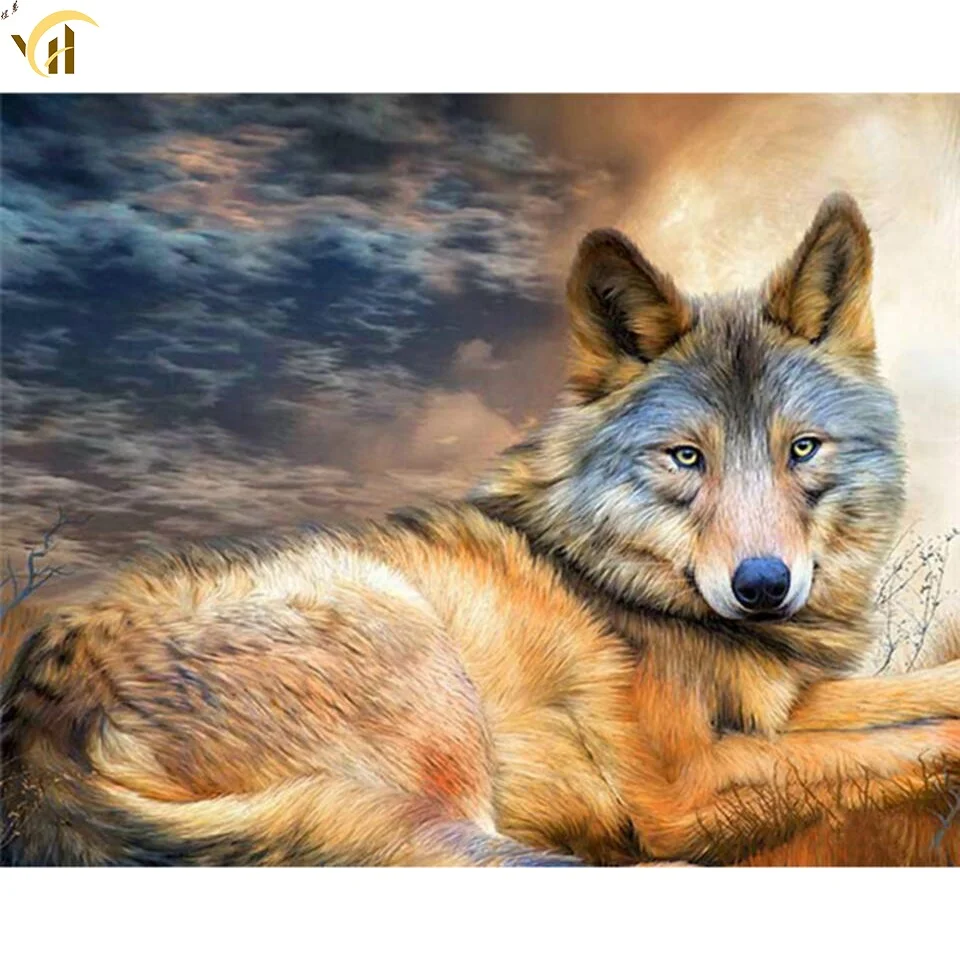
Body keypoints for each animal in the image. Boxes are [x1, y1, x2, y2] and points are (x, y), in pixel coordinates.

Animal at [3, 193, 959, 866]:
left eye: (802, 448)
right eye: (687, 457)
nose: (763, 586)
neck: (613, 579)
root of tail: (37, 732)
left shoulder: (781, 709)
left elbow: (910, 697)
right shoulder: (683, 787)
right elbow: (905, 742)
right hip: (418, 663)